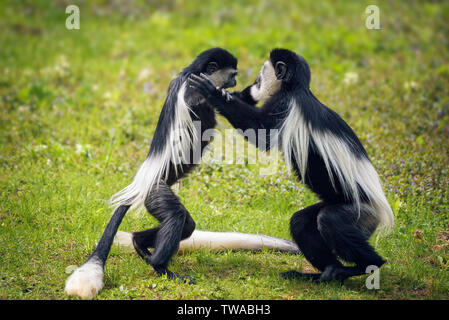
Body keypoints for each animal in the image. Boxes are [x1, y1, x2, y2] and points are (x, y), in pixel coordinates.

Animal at [65, 48, 300, 300]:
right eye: (232, 75)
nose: (236, 82)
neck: (191, 73)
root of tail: (140, 184)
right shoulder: (190, 91)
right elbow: (202, 102)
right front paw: (218, 95)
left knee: (186, 224)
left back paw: (139, 243)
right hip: (156, 192)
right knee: (177, 217)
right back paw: (160, 266)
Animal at [188, 48, 392, 284]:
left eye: (260, 76)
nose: (253, 84)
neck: (296, 88)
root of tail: (379, 208)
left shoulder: (283, 105)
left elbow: (261, 134)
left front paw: (212, 93)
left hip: (359, 213)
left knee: (330, 221)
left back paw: (365, 265)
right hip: (340, 207)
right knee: (301, 223)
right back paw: (328, 272)